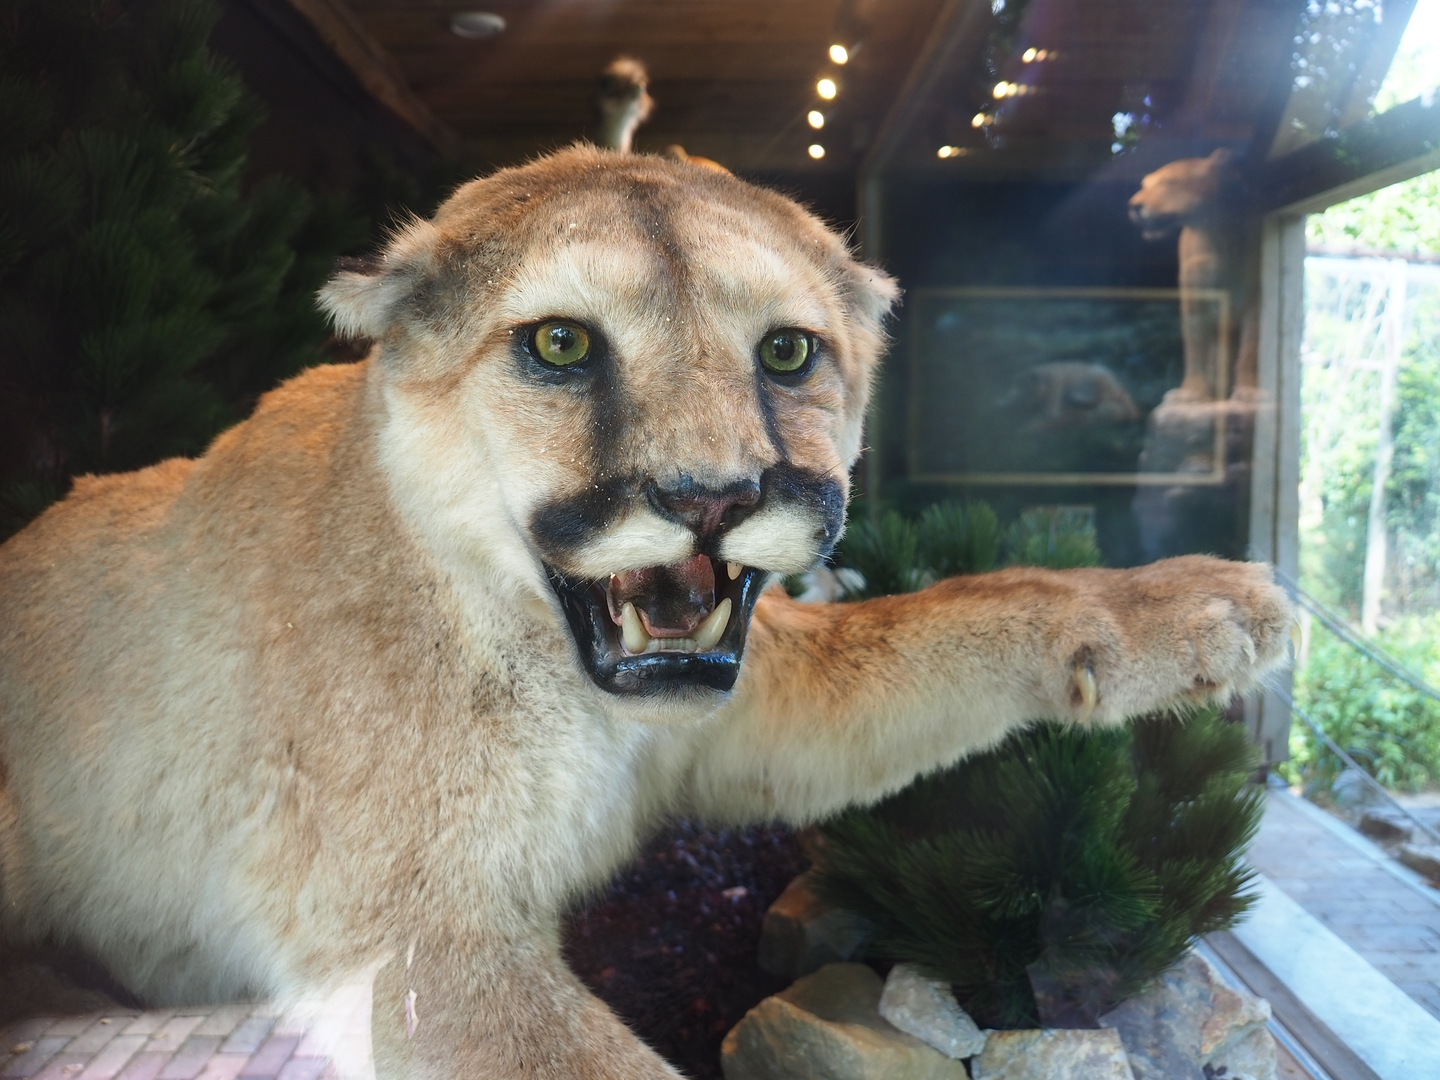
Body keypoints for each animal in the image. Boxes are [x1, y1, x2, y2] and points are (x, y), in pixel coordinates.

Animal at [0, 145, 1291, 1079]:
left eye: (788, 352)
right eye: (561, 343)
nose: (711, 496)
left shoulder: (749, 716)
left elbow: (947, 618)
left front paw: (1192, 604)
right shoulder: (417, 942)